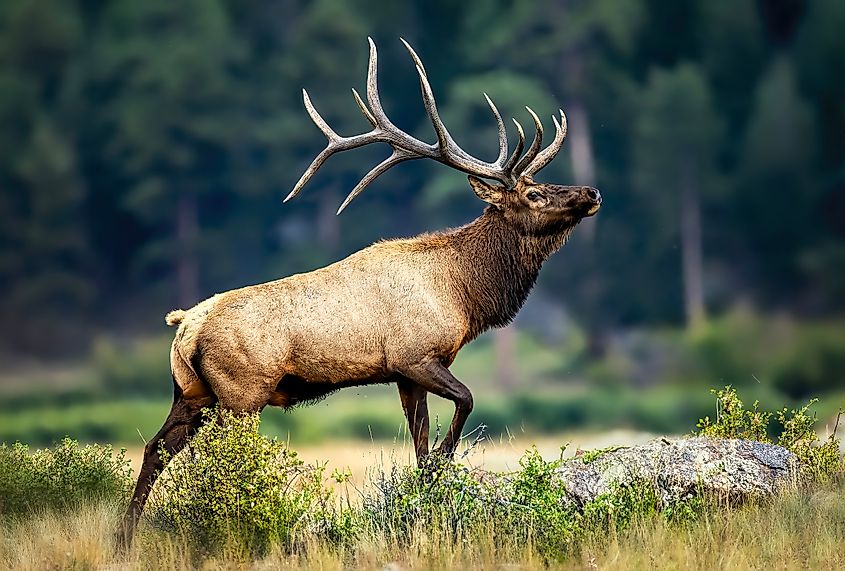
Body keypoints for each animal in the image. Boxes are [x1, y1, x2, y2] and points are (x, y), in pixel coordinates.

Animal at [117, 38, 600, 546]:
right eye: (534, 195)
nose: (590, 192)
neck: (462, 294)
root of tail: (184, 325)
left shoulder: (406, 375)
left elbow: (420, 447)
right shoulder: (415, 355)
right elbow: (467, 401)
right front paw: (445, 461)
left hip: (192, 393)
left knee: (155, 449)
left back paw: (125, 536)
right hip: (241, 392)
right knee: (219, 460)